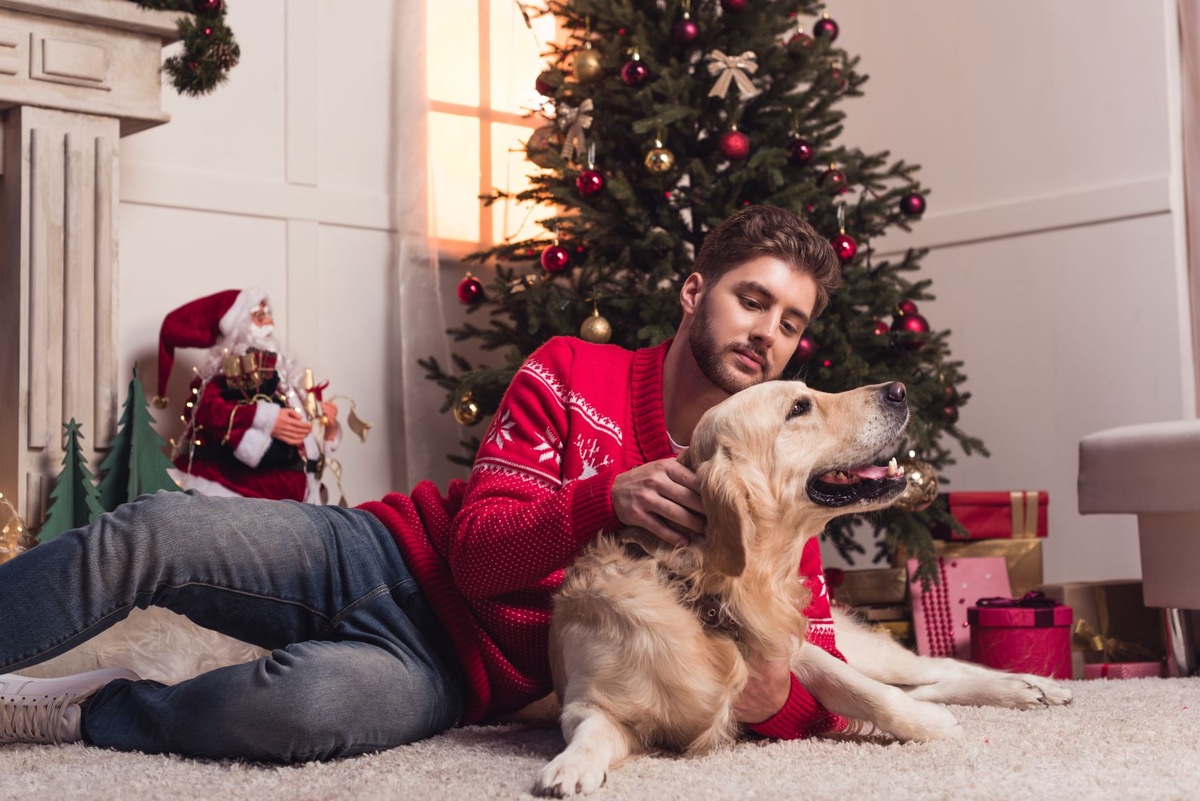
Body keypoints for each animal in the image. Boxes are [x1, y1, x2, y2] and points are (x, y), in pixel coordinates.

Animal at [535, 381, 1070, 796]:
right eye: (799, 408)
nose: (900, 390)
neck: (707, 593)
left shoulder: (791, 647)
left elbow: (863, 690)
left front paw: (929, 725)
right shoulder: (590, 702)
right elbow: (589, 731)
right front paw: (569, 768)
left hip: (869, 649)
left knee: (937, 668)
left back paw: (1033, 686)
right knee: (931, 680)